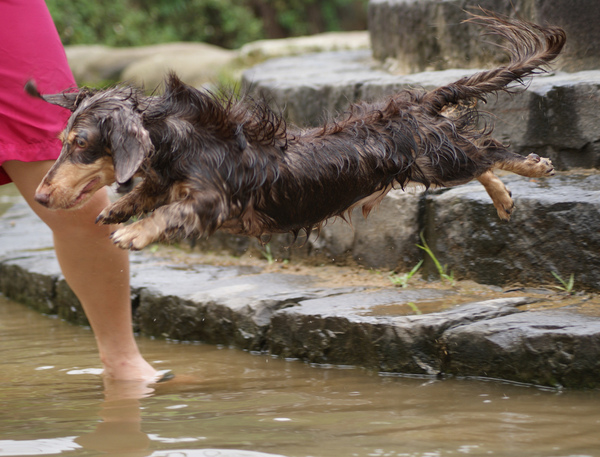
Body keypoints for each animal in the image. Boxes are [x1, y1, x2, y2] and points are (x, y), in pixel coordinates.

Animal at [27, 11, 564, 249]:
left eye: (79, 144)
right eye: (62, 143)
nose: (40, 196)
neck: (182, 142)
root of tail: (418, 102)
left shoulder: (215, 201)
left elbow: (173, 210)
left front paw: (135, 232)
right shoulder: (166, 178)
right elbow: (150, 193)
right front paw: (120, 209)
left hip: (436, 159)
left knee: (488, 150)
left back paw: (533, 167)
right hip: (440, 155)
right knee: (479, 155)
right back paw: (504, 198)